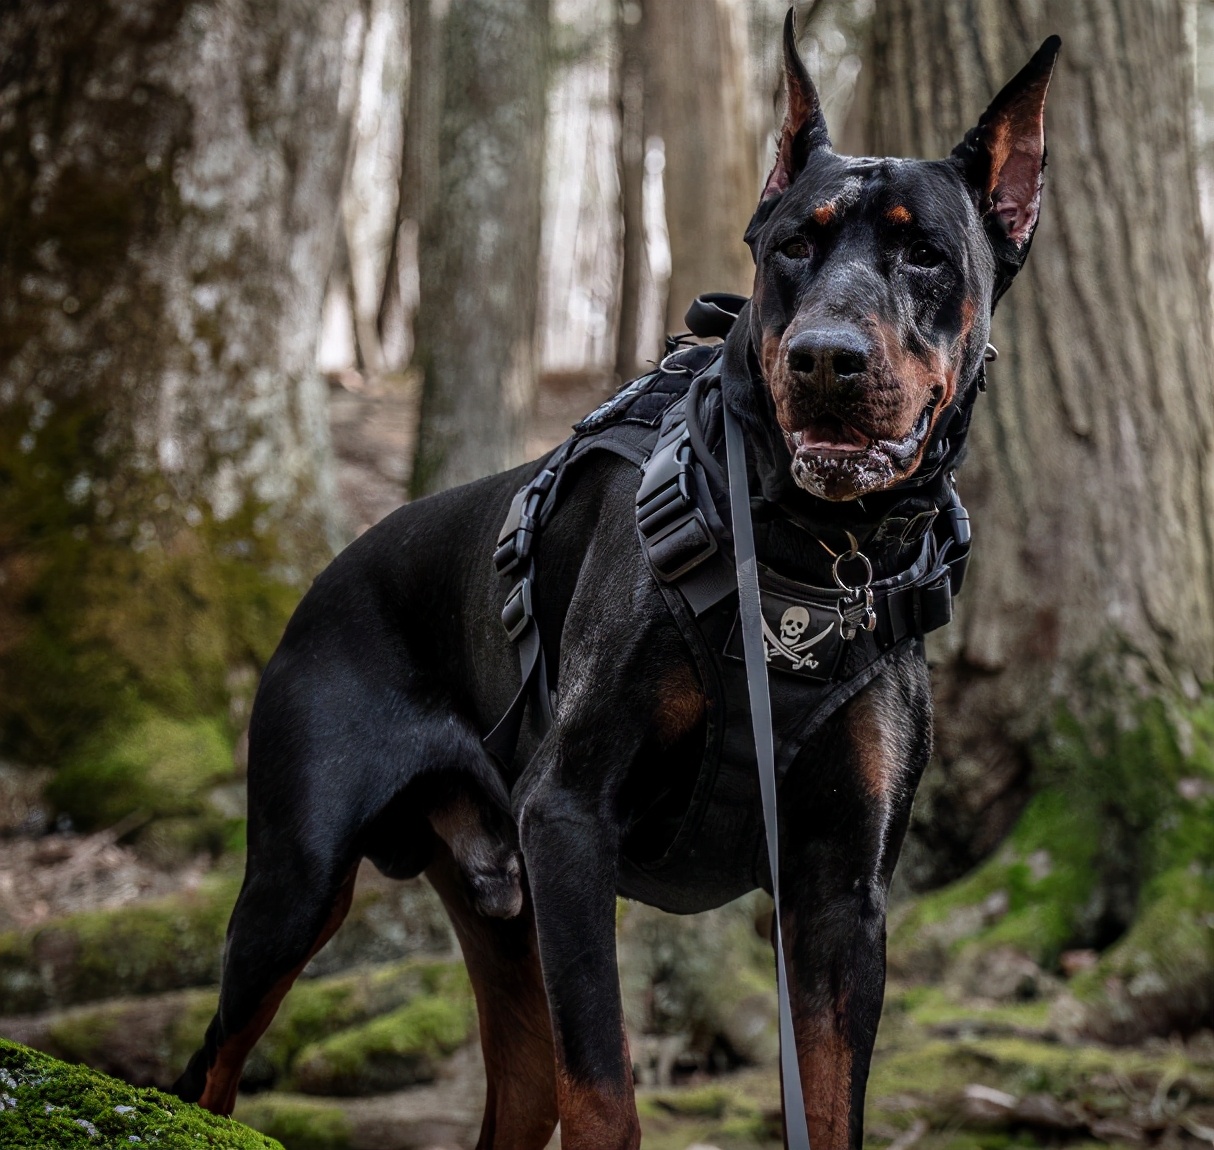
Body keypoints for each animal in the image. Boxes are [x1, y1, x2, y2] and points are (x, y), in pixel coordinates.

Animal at [176, 17, 1058, 1150]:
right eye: (793, 246)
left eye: (924, 254)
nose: (825, 358)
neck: (808, 556)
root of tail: (316, 585)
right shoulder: (567, 820)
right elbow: (602, 1087)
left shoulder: (840, 894)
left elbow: (826, 1101)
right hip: (301, 876)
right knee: (207, 1063)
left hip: (500, 914)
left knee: (515, 1089)